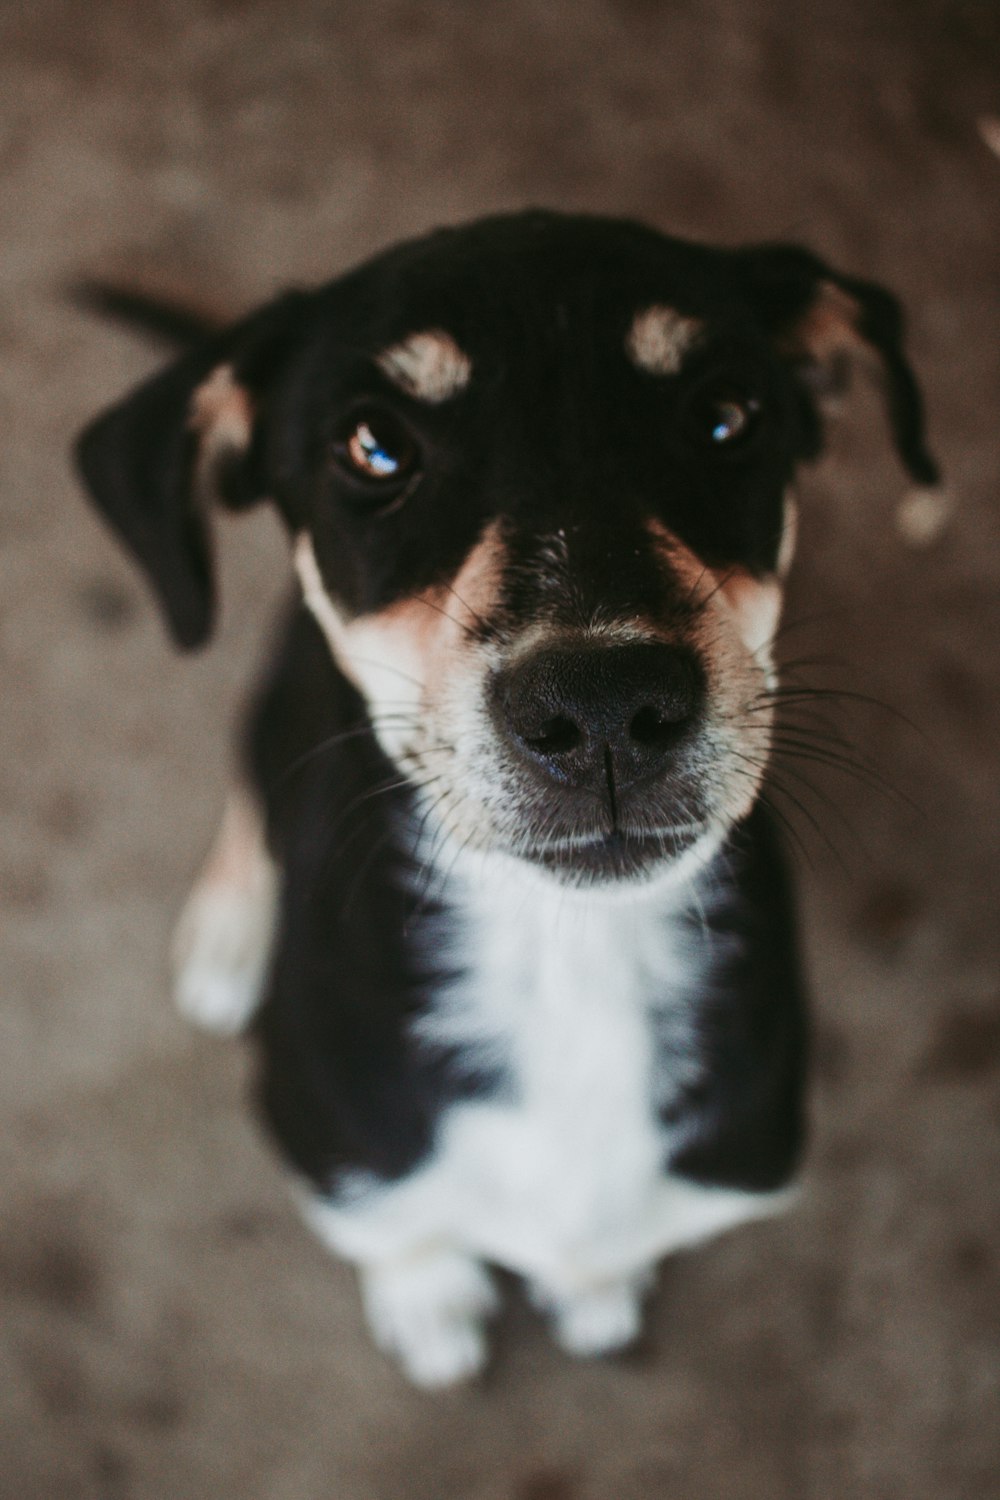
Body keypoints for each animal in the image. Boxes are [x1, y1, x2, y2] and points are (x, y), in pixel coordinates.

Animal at [78, 211, 941, 1380]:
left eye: (724, 414)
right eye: (374, 445)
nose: (605, 705)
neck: (565, 958)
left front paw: (596, 1286)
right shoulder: (336, 1153)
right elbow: (395, 1229)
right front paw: (429, 1301)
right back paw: (227, 935)